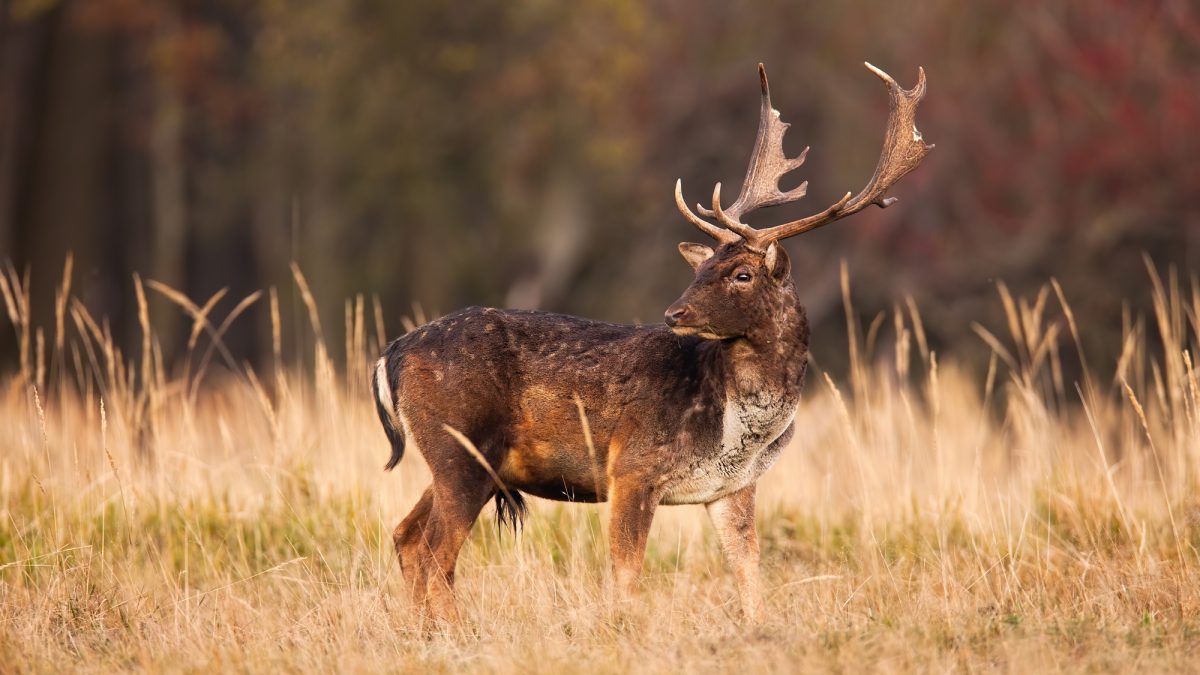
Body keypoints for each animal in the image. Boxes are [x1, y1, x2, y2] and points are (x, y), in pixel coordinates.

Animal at [369, 60, 931, 624]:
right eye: (702, 267)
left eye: (742, 274)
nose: (673, 313)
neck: (736, 422)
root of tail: (391, 354)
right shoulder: (632, 466)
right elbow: (626, 575)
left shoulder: (733, 487)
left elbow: (750, 576)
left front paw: (756, 628)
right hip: (460, 448)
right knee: (436, 551)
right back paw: (455, 631)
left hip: (458, 460)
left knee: (406, 535)